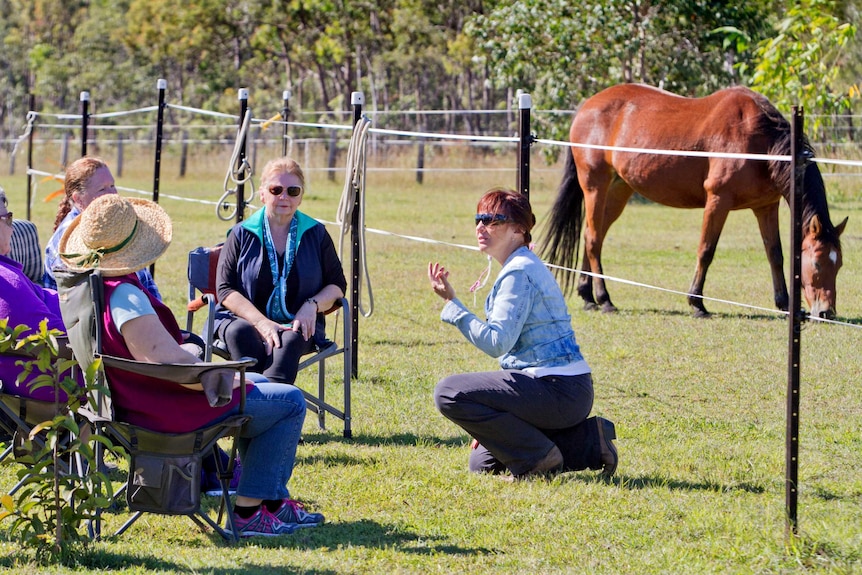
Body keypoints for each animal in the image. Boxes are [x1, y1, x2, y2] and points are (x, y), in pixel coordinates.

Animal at [544, 84, 848, 320]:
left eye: (840, 264)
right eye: (817, 263)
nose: (827, 312)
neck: (760, 140)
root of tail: (587, 106)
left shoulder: (766, 207)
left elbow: (775, 254)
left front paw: (784, 305)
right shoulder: (718, 200)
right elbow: (706, 250)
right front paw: (696, 302)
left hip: (618, 191)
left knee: (592, 235)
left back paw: (588, 296)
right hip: (595, 186)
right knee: (594, 238)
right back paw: (604, 298)